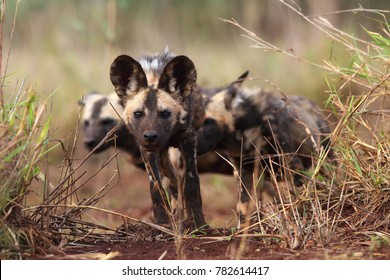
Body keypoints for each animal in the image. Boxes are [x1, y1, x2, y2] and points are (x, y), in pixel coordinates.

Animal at [109, 49, 207, 230]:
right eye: (138, 114)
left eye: (165, 114)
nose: (150, 136)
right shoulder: (147, 150)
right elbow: (157, 189)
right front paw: (162, 223)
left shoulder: (188, 139)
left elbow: (191, 183)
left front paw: (198, 223)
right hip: (161, 157)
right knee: (173, 181)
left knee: (179, 180)